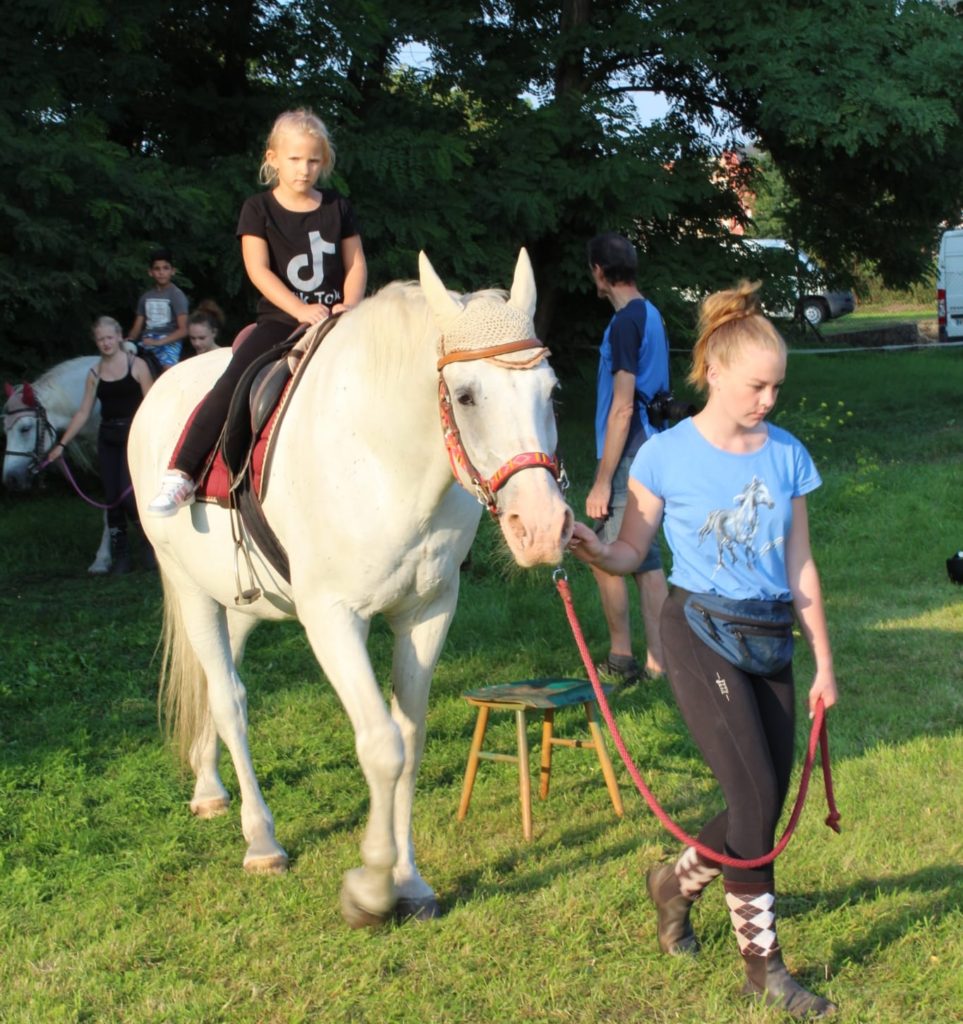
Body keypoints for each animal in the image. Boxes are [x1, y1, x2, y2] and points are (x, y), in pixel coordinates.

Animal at [128, 249, 574, 927]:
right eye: (466, 395)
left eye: (551, 391)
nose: (543, 528)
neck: (385, 458)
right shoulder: (334, 618)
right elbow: (383, 746)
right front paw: (370, 888)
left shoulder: (427, 612)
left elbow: (410, 741)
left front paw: (409, 882)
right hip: (190, 590)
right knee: (229, 700)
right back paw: (261, 840)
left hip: (242, 603)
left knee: (215, 683)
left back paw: (208, 787)